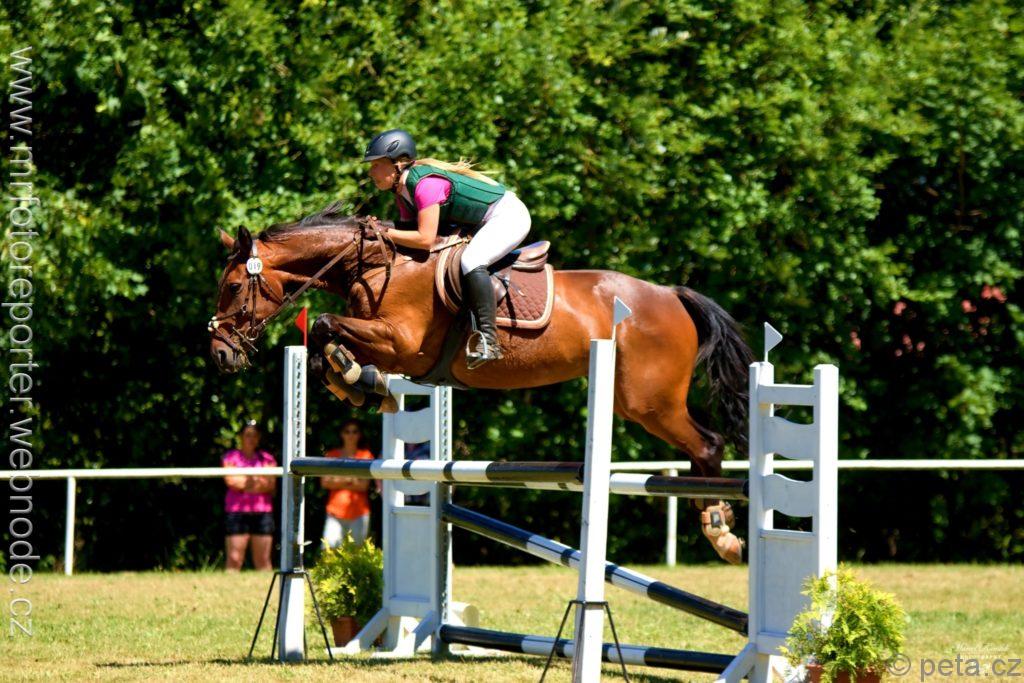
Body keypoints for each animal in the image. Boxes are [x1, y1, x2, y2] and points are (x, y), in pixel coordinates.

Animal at [208, 202, 754, 562]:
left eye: (233, 286)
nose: (219, 354)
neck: (376, 264)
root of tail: (671, 294)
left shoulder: (402, 341)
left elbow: (323, 324)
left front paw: (357, 378)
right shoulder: (386, 342)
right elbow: (327, 343)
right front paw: (359, 382)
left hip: (647, 402)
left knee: (708, 443)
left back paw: (721, 530)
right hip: (640, 401)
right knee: (702, 447)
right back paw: (719, 521)